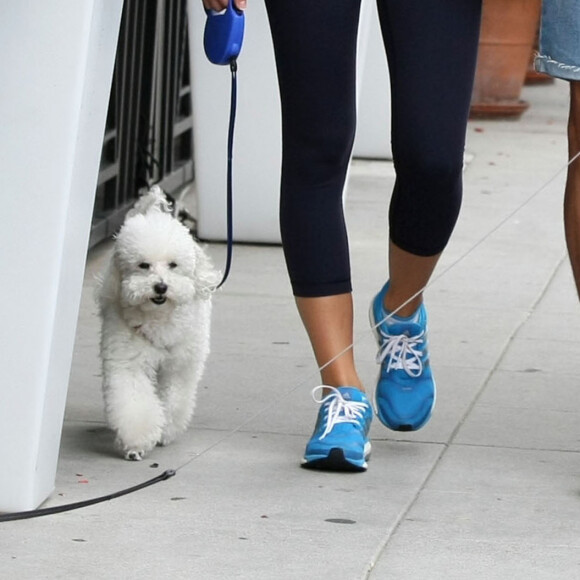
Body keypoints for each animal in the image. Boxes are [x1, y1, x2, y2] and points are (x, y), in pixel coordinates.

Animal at [96, 188, 219, 460]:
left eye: (173, 265)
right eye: (143, 265)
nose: (161, 287)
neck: (159, 316)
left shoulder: (181, 364)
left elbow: (175, 398)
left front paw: (166, 431)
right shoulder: (127, 361)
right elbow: (133, 402)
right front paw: (137, 442)